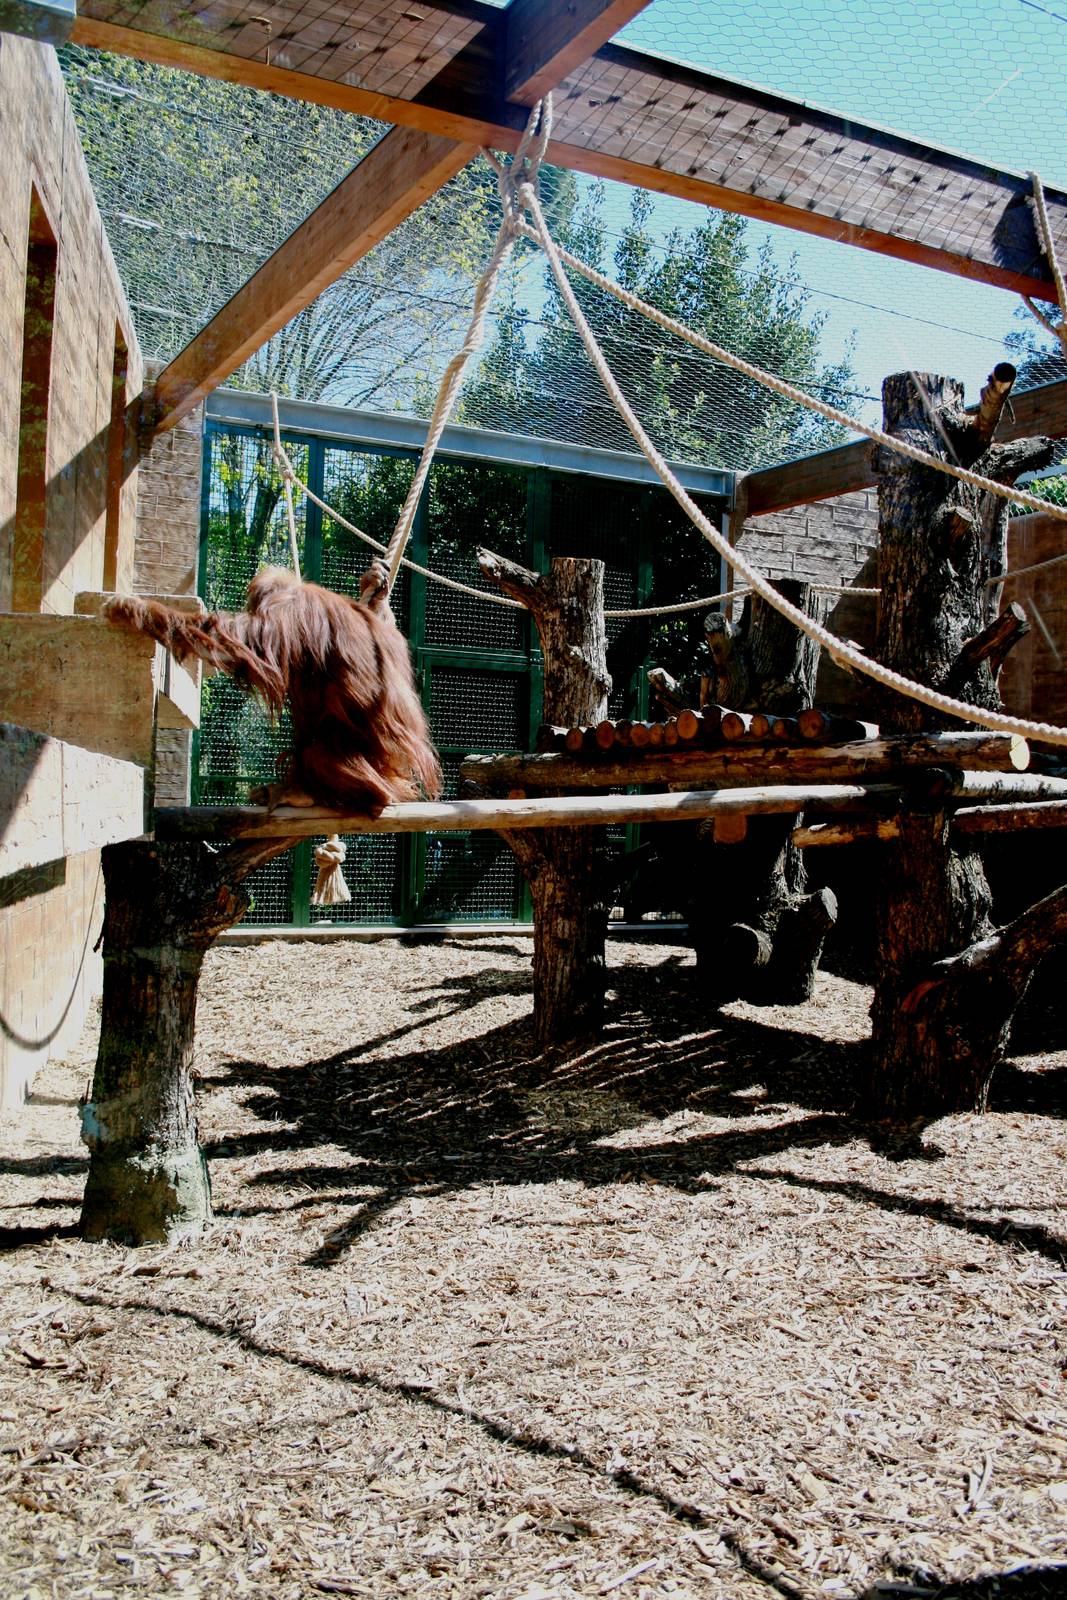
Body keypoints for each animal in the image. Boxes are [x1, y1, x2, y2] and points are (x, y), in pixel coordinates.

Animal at [105, 559, 442, 814]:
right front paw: (374, 584)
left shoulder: (287, 610)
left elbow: (233, 642)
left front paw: (131, 608)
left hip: (374, 765)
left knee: (316, 748)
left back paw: (330, 794)